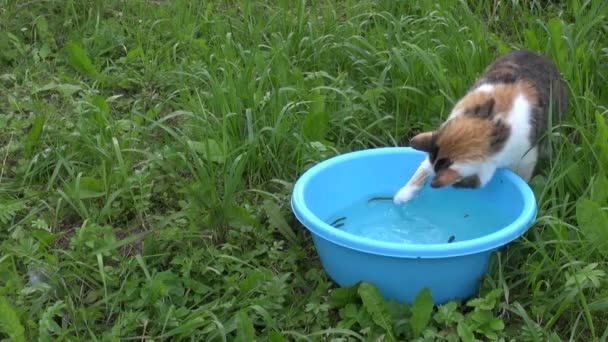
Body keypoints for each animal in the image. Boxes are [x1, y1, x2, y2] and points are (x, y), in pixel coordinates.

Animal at [394, 49, 568, 204]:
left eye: (460, 184)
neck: (493, 126)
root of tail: (543, 57)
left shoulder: (525, 159)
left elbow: (523, 178)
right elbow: (423, 168)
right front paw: (403, 195)